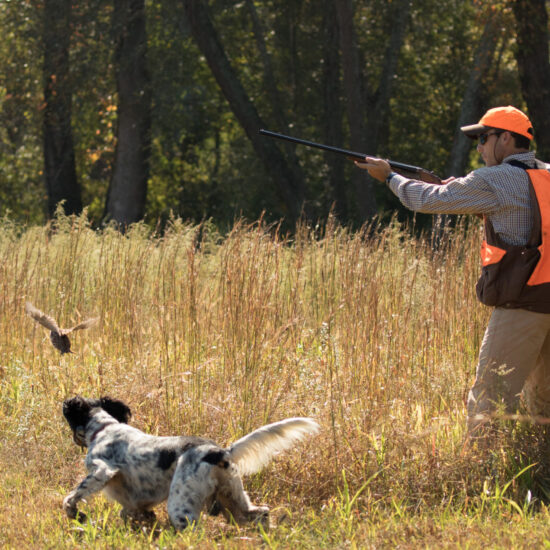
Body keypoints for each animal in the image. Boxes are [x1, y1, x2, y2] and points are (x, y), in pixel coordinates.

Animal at [62, 396, 322, 532]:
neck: (104, 428)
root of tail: (220, 452)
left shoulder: (102, 470)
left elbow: (70, 498)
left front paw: (77, 515)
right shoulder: (135, 501)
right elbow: (132, 512)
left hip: (181, 507)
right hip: (233, 499)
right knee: (260, 512)